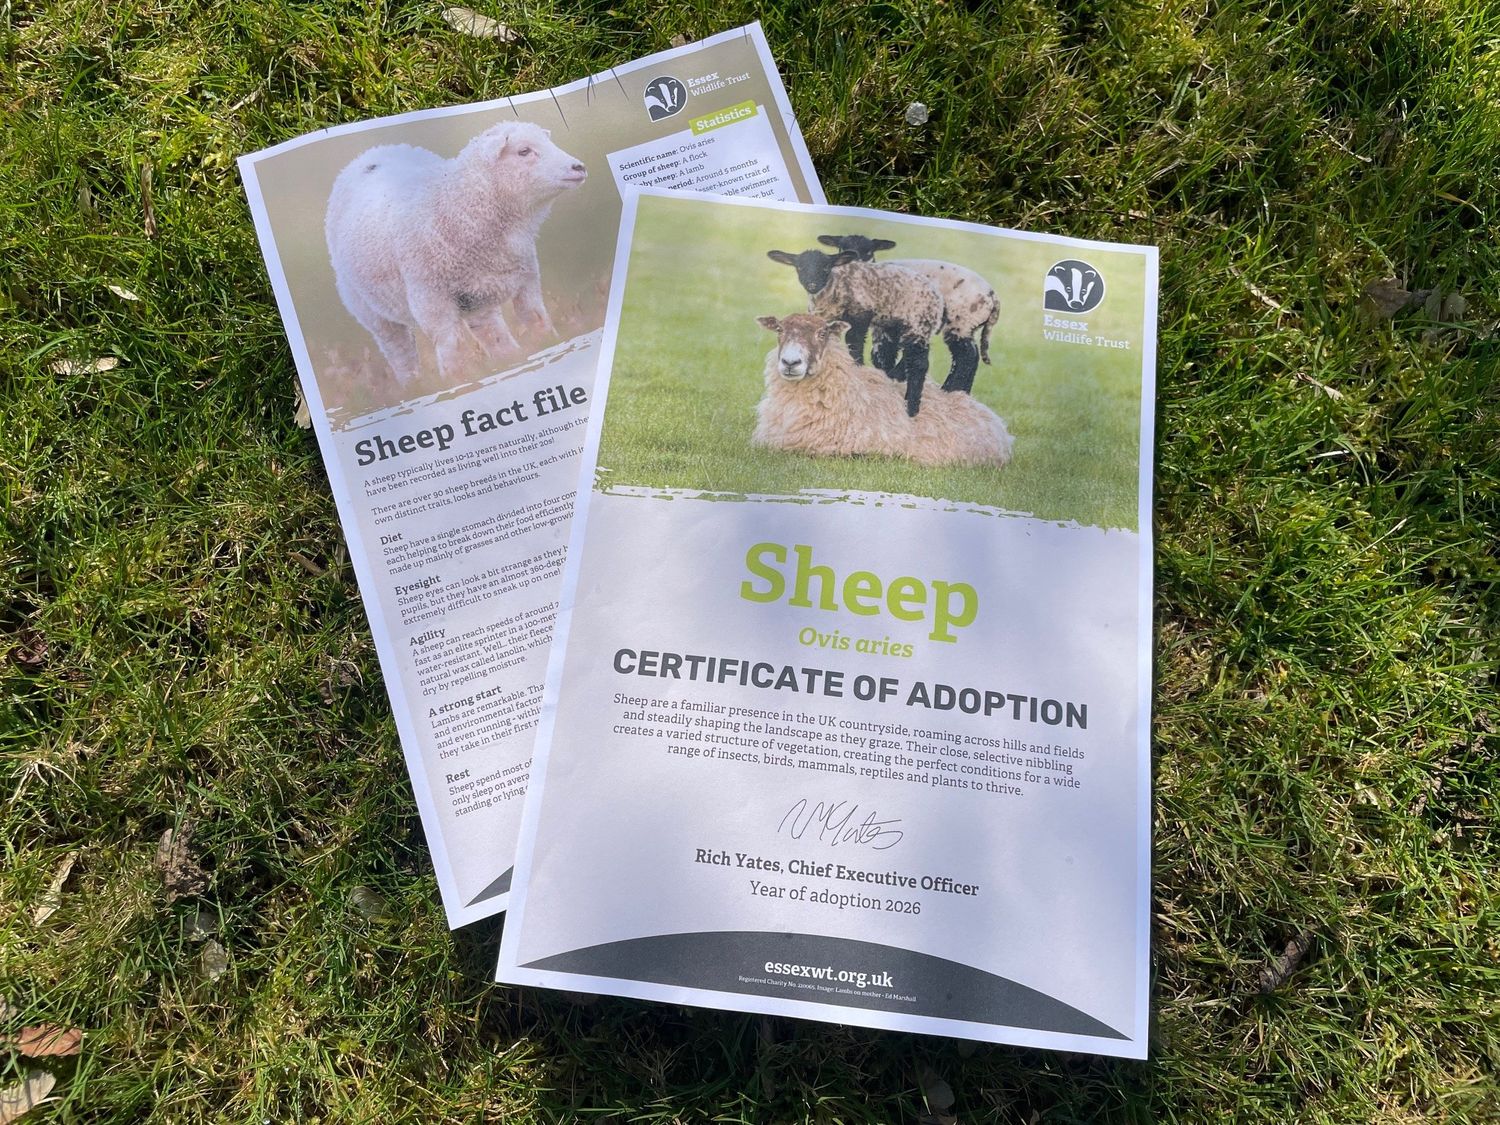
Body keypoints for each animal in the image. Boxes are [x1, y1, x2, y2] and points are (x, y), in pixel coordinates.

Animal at [325, 121, 587, 385]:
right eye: (523, 151)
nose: (579, 167)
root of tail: (369, 155)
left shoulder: (527, 279)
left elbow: (536, 319)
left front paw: (550, 347)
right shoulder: (431, 300)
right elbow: (452, 347)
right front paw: (457, 383)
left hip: (477, 299)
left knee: (491, 331)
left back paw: (510, 360)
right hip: (369, 310)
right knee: (400, 352)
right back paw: (414, 386)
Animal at [766, 247, 943, 419]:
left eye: (826, 267)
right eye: (799, 267)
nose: (812, 285)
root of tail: (937, 297)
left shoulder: (860, 313)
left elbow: (855, 343)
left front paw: (857, 368)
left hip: (917, 323)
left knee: (918, 364)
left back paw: (911, 408)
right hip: (896, 325)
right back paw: (892, 378)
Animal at [816, 234, 1000, 394]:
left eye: (869, 252)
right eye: (841, 248)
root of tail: (992, 296)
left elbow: (879, 353)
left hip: (960, 322)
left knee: (966, 357)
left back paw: (949, 390)